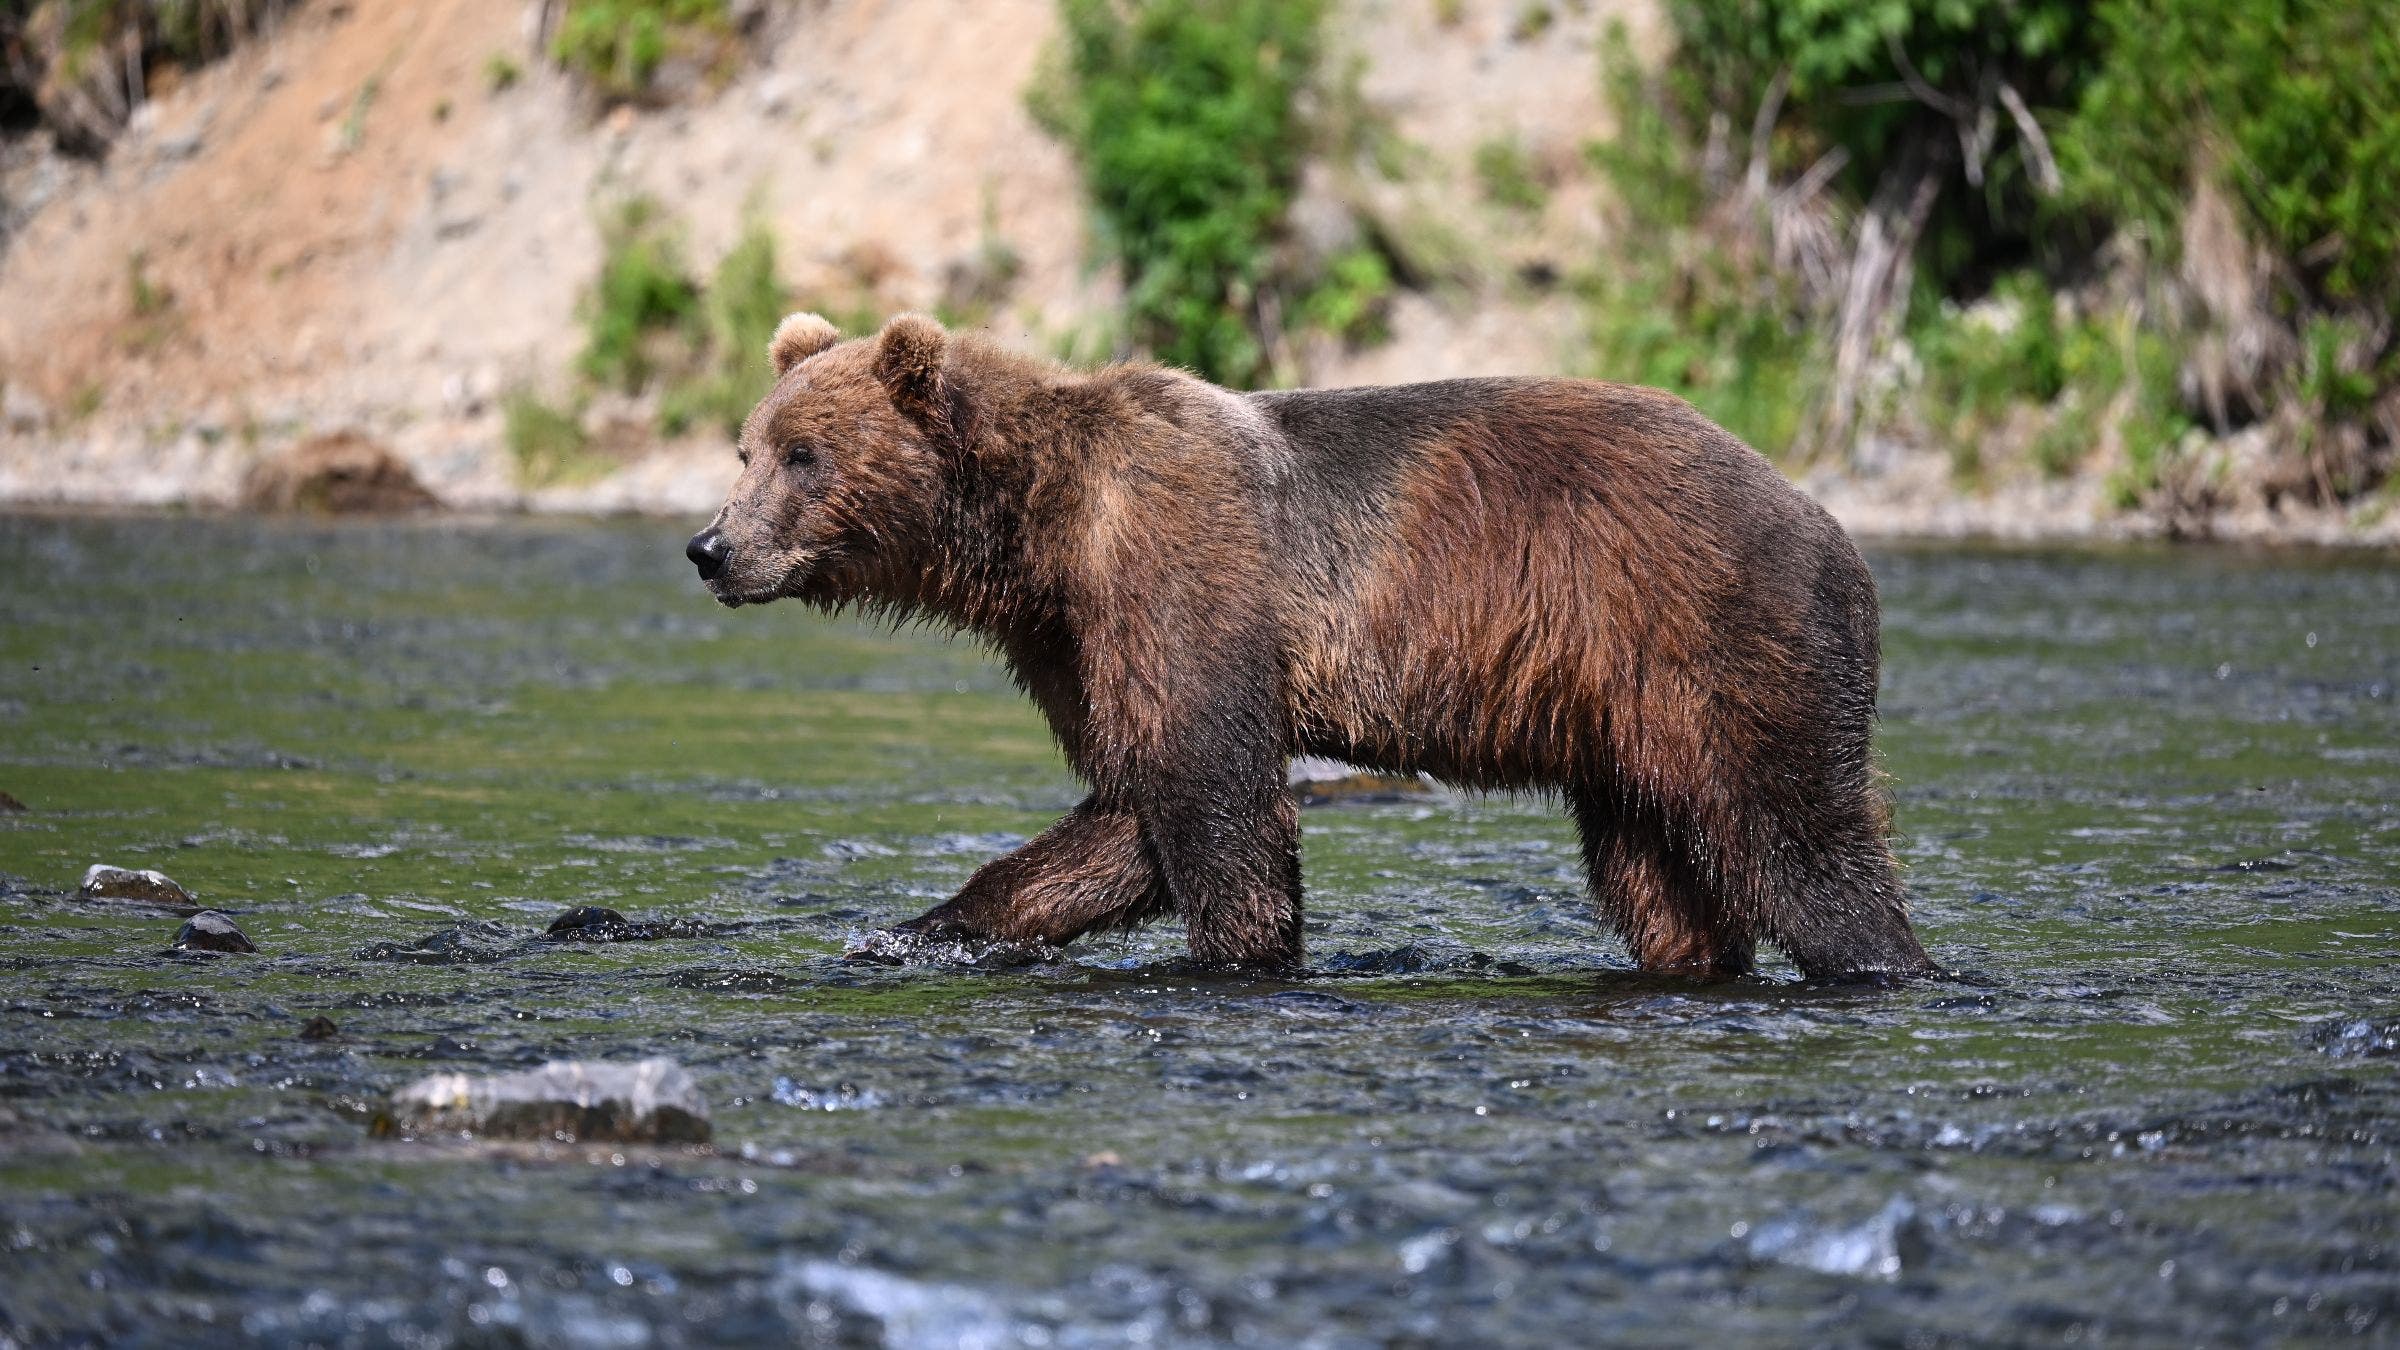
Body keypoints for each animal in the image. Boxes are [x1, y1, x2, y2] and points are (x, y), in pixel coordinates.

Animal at [686, 311, 1935, 980]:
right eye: (748, 448)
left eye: (802, 456)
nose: (710, 546)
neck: (1039, 535)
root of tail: (1833, 528)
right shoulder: (1083, 638)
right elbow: (1126, 816)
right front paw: (918, 931)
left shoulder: (1181, 578)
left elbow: (1217, 803)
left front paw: (1242, 949)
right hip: (1619, 712)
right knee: (1658, 872)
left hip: (1719, 631)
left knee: (1798, 838)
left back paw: (1887, 960)